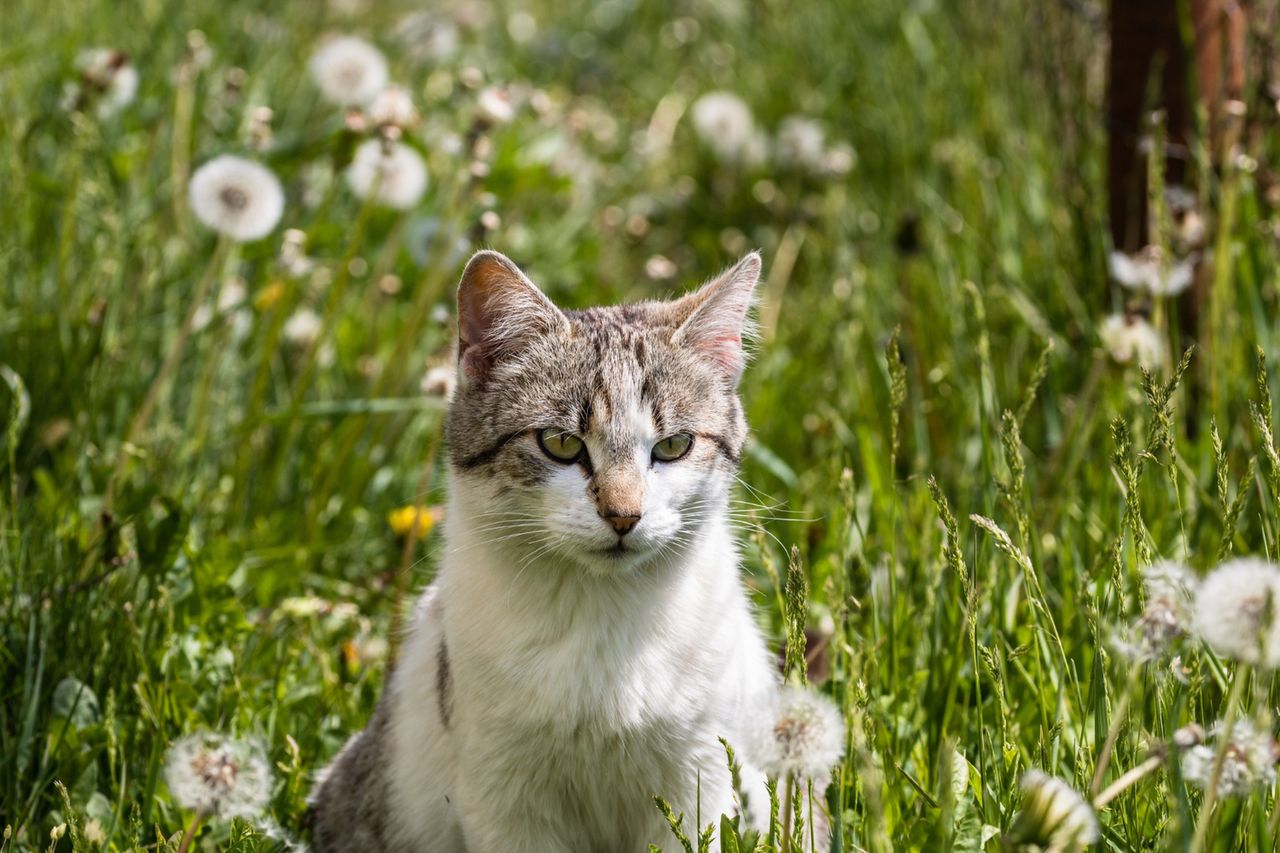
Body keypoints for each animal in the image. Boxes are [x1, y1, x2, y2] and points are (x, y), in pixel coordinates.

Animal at [309, 249, 778, 845]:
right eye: (560, 443)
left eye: (675, 445)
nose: (624, 515)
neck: (601, 617)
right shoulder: (502, 793)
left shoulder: (699, 778)